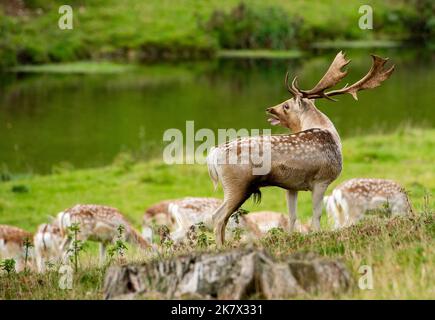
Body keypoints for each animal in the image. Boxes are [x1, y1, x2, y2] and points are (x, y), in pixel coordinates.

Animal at [208, 52, 396, 245]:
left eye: (286, 105)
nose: (270, 109)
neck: (330, 134)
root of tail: (214, 153)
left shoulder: (292, 186)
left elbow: (293, 216)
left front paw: (291, 237)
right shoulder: (322, 179)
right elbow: (316, 215)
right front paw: (318, 236)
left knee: (222, 218)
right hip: (237, 184)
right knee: (218, 216)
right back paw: (221, 247)